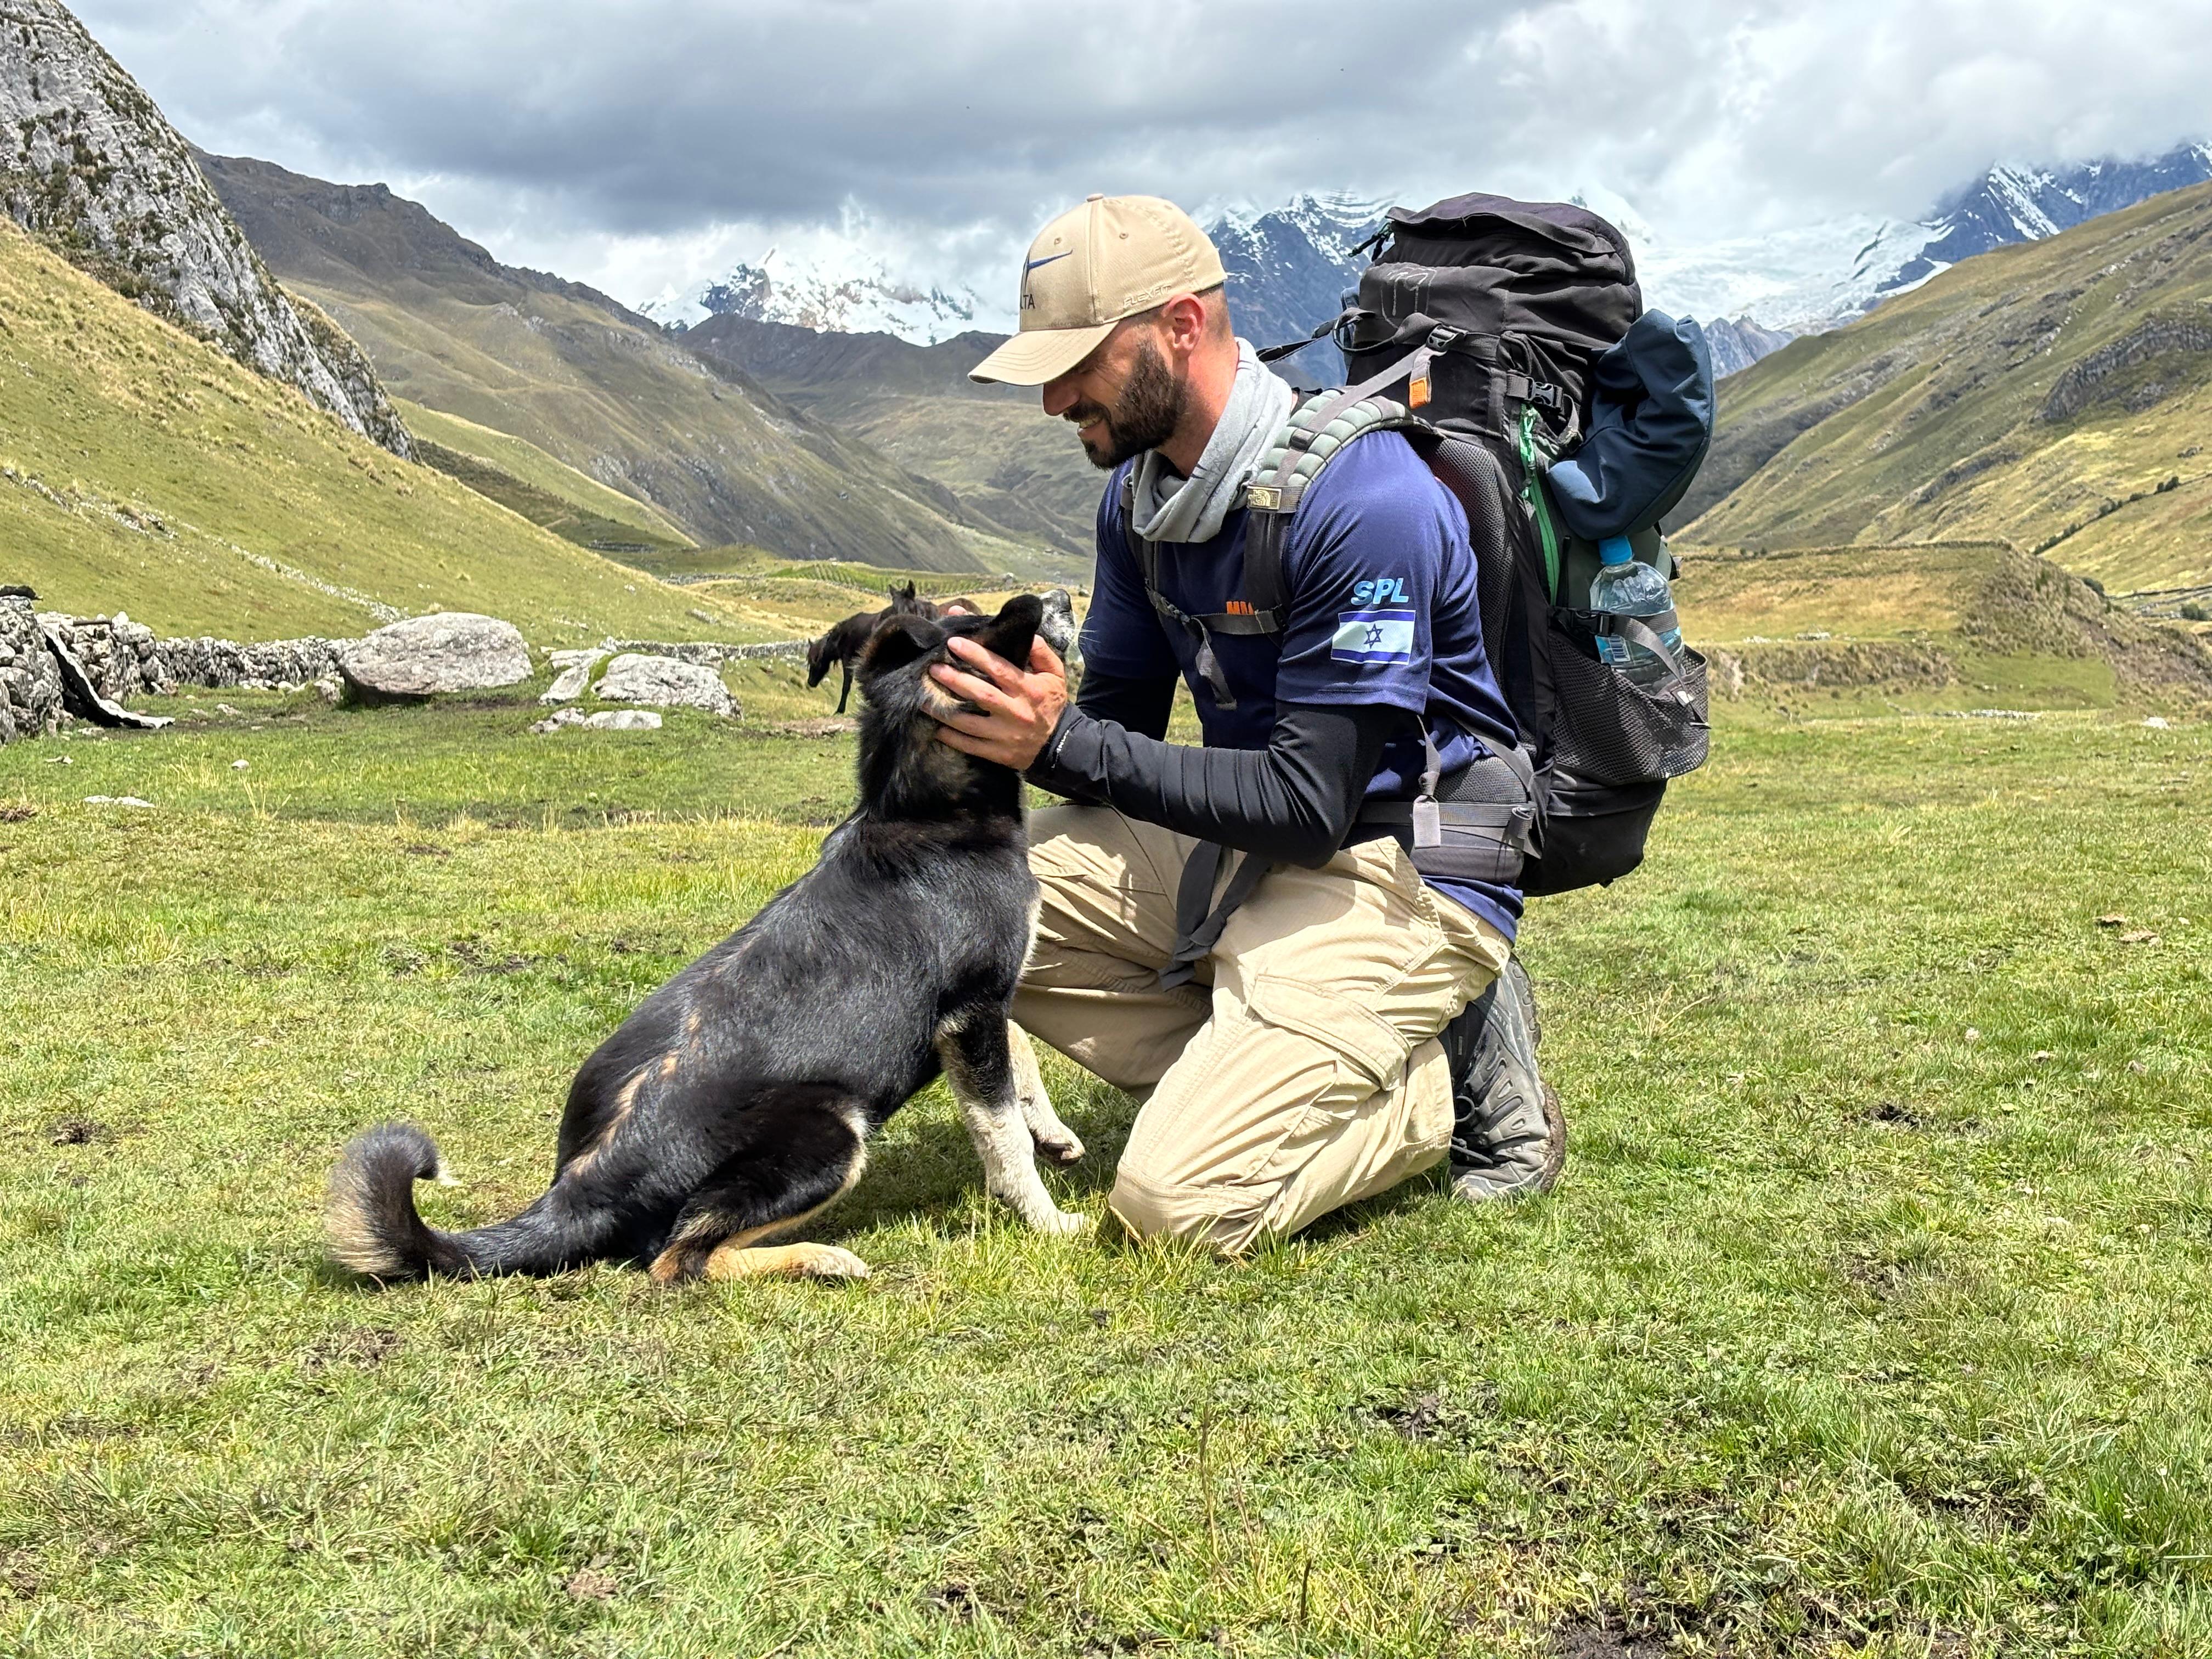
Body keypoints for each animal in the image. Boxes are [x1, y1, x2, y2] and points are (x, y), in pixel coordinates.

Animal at [325, 592, 1079, 1283]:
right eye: (977, 618)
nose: (1065, 598)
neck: (921, 810)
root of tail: (580, 1190)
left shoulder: (983, 1006)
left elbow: (1019, 1062)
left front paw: (1052, 1130)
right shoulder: (972, 1008)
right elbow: (1000, 1131)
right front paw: (1047, 1217)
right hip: (832, 1130)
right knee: (681, 1260)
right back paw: (819, 1257)